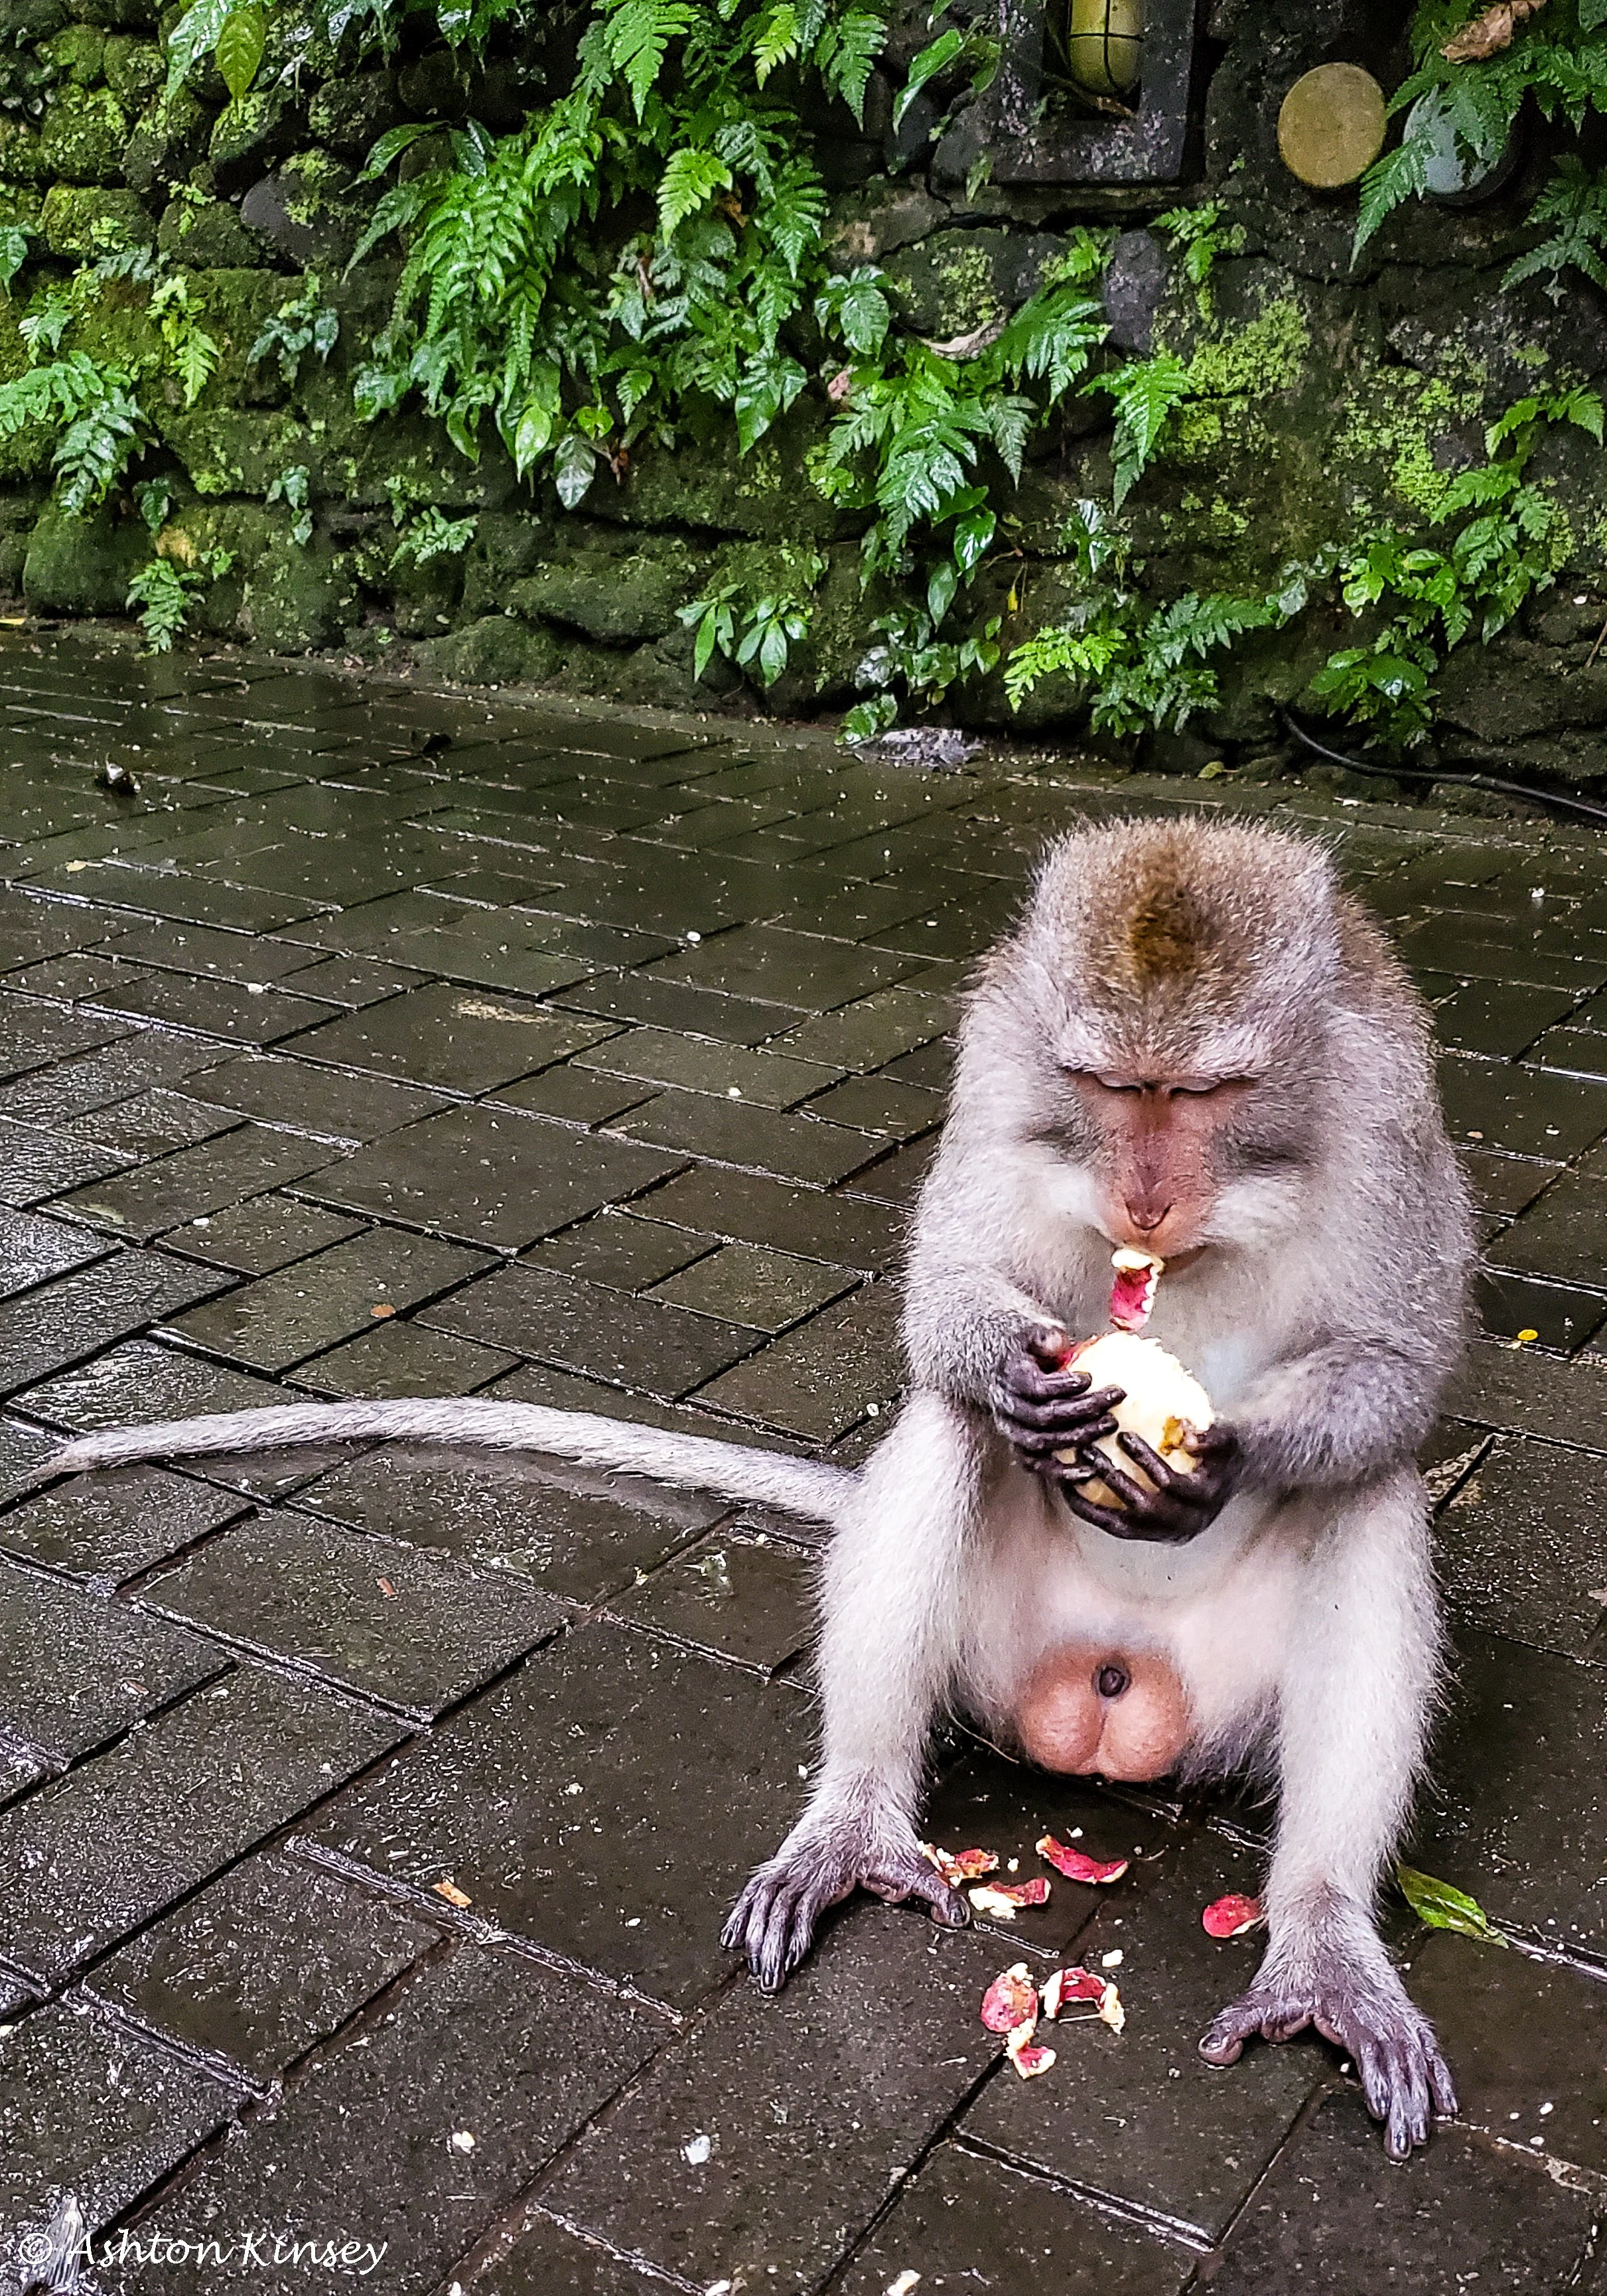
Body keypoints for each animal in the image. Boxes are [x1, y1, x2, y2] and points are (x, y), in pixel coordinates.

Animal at [45, 816, 1471, 2162]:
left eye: (1202, 1091)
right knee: (945, 1432)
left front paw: (1228, 1460)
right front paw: (1009, 1375)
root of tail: (1115, 1694)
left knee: (1371, 1495)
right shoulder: (1002, 1057)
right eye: (1109, 1087)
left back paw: (1322, 1939)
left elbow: (1401, 1370)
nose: (1145, 1195)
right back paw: (854, 1822)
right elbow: (946, 1294)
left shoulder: (1386, 1106)